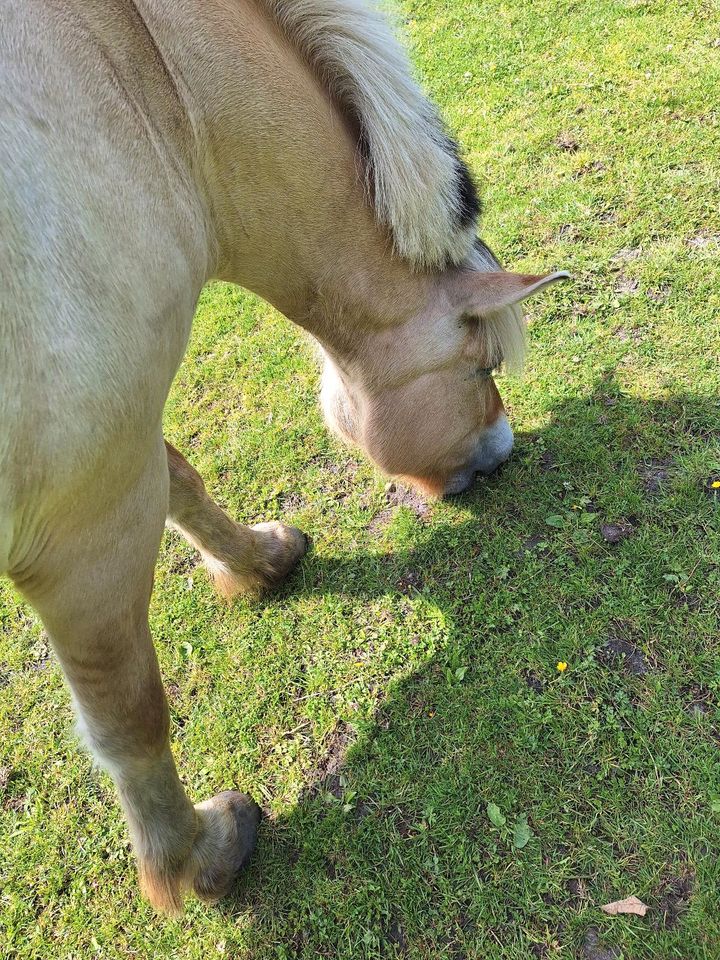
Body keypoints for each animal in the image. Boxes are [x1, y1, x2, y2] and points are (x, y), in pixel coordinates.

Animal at [0, 0, 564, 916]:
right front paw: (198, 856)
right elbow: (130, 717)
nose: (502, 453)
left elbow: (183, 479)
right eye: (482, 367)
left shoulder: (126, 438)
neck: (150, 90)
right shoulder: (88, 526)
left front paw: (261, 561)